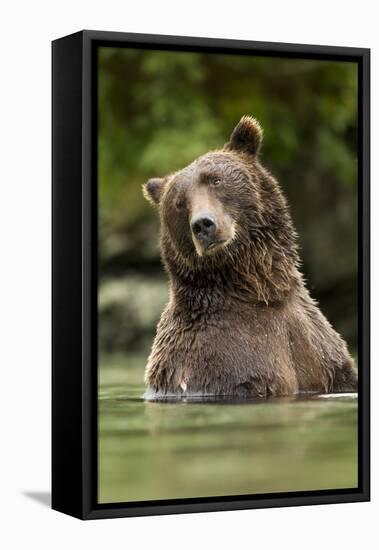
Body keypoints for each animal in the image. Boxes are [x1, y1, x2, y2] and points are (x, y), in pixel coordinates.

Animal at [141, 116, 358, 402]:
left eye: (216, 180)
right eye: (179, 202)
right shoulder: (220, 358)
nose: (203, 224)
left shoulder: (318, 345)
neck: (261, 291)